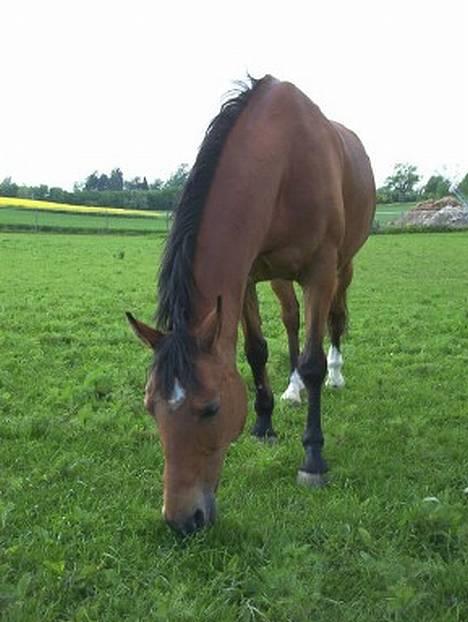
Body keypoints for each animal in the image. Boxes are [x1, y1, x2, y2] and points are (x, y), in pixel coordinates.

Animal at [128, 75, 376, 536]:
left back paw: (335, 374)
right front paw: (263, 424)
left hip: (344, 266)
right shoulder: (245, 278)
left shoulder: (321, 271)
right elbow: (256, 351)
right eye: (151, 407)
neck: (284, 160)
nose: (182, 520)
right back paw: (293, 389)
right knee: (292, 320)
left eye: (211, 409)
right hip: (280, 277)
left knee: (333, 321)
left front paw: (313, 459)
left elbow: (313, 360)